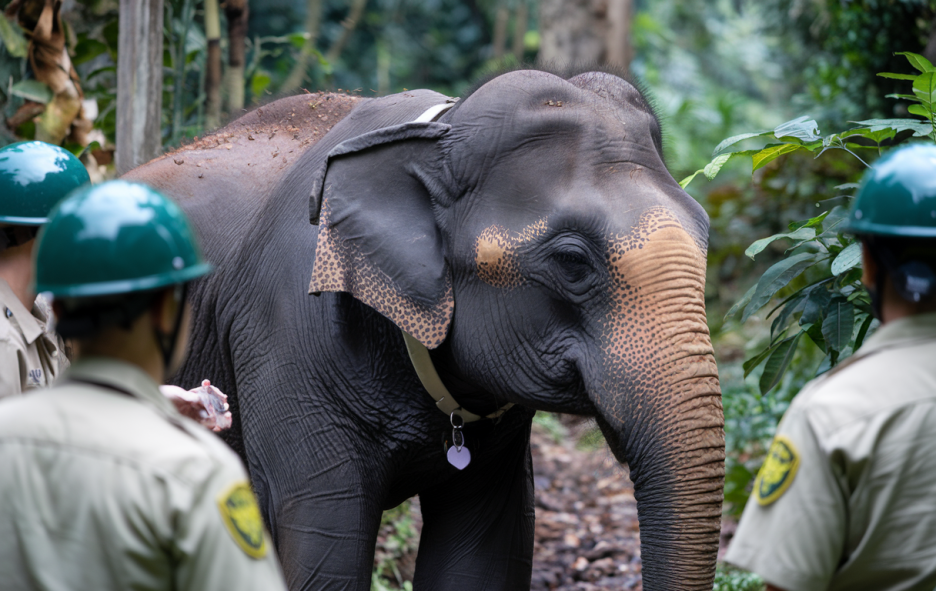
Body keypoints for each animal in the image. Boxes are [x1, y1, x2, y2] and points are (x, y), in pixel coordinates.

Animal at [123, 67, 725, 591]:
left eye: (705, 232)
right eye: (573, 261)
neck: (436, 132)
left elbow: (478, 567)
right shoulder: (285, 341)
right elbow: (324, 559)